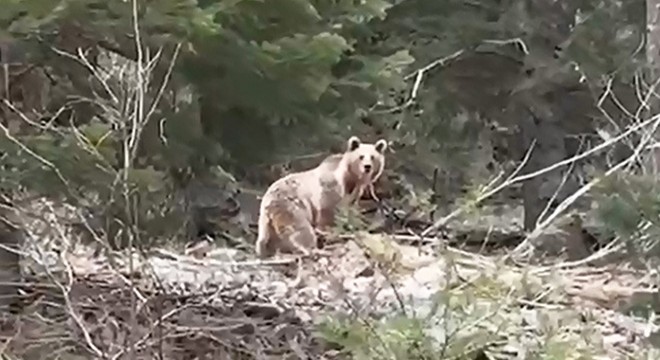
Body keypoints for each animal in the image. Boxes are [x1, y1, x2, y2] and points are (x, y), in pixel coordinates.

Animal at [253, 136, 386, 258]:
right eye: (361, 156)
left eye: (373, 157)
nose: (367, 167)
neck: (350, 181)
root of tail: (268, 201)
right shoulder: (330, 189)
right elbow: (328, 213)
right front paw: (330, 232)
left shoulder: (353, 195)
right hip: (292, 207)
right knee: (302, 230)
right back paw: (316, 249)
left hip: (266, 221)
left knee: (265, 238)